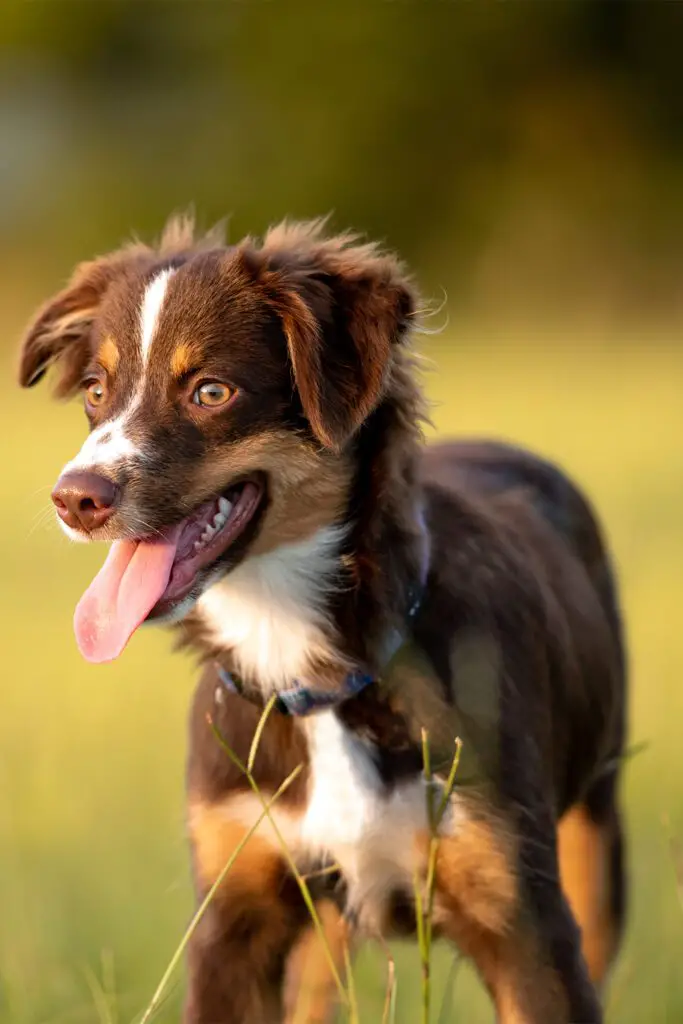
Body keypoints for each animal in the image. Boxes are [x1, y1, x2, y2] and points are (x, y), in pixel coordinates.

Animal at [17, 211, 626, 1019]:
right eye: (95, 389)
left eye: (211, 390)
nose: (75, 499)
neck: (308, 663)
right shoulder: (234, 915)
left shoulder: (523, 918)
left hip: (596, 844)